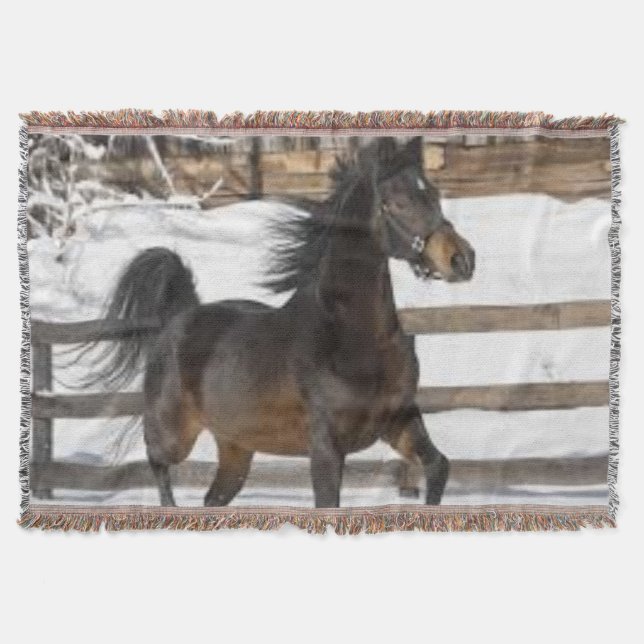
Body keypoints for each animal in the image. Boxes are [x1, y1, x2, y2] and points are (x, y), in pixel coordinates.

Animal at [87, 136, 475, 507]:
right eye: (398, 202)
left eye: (434, 193)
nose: (462, 260)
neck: (353, 338)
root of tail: (177, 320)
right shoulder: (325, 447)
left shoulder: (400, 420)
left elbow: (439, 466)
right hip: (174, 433)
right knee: (157, 464)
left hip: (236, 446)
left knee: (213, 498)